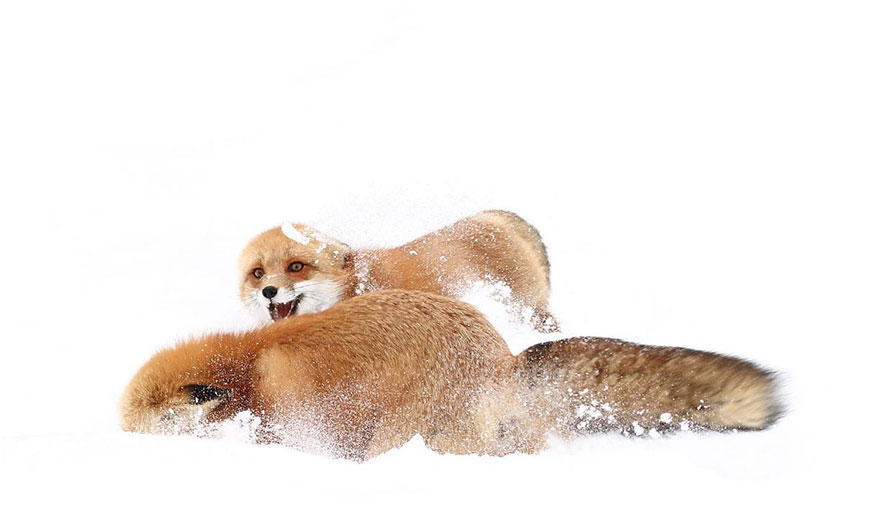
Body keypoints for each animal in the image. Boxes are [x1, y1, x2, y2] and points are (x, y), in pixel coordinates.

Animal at [238, 210, 558, 331]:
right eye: (258, 273)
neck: (354, 289)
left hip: (527, 310)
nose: (269, 291)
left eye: (296, 267)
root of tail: (493, 217)